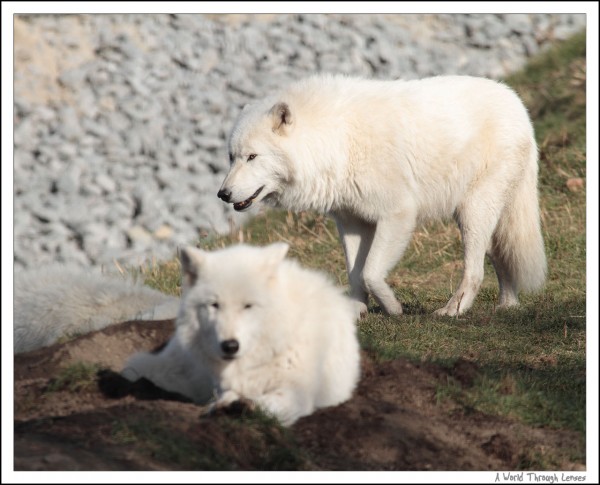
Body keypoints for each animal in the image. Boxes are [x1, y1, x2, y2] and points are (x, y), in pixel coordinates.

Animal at [120, 244, 356, 426]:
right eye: (215, 305)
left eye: (248, 306)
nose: (230, 346)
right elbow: (228, 395)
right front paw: (225, 405)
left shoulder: (297, 393)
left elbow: (269, 401)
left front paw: (244, 406)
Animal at [218, 72, 548, 314]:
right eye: (232, 157)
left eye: (252, 157)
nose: (223, 194)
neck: (335, 141)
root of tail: (517, 104)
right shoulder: (352, 222)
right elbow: (354, 273)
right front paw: (356, 311)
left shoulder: (397, 215)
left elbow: (370, 273)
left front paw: (393, 308)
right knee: (499, 256)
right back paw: (507, 306)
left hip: (472, 213)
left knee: (475, 270)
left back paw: (452, 311)